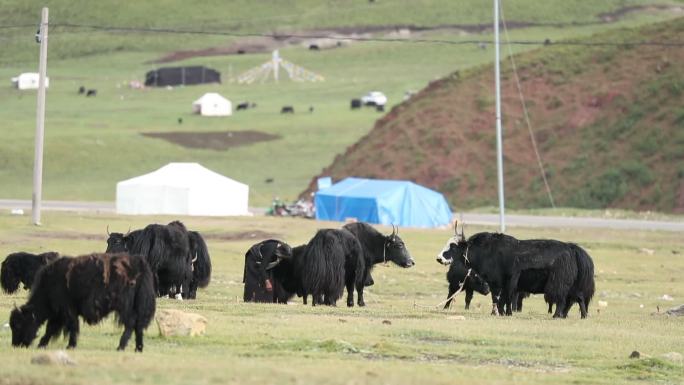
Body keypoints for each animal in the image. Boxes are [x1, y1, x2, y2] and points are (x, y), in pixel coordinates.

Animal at [10, 252, 155, 352]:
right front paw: (42, 344)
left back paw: (120, 347)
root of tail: (138, 262)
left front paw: (70, 346)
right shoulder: (60, 313)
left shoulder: (66, 310)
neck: (49, 285)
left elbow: (67, 326)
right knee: (138, 325)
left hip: (124, 307)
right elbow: (52, 328)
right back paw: (138, 348)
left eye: (18, 324)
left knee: (130, 323)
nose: (16, 345)